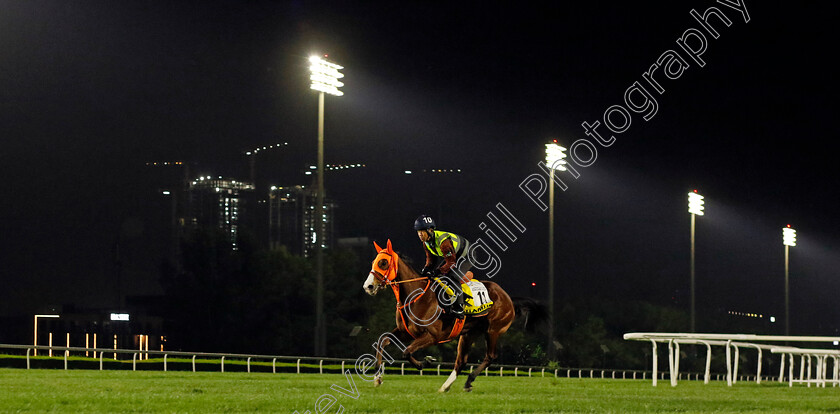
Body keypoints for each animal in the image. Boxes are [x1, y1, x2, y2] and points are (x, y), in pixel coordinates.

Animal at [362, 239, 516, 392]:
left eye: (383, 262)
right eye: (374, 262)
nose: (368, 286)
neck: (416, 296)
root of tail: (507, 297)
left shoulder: (433, 336)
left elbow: (406, 351)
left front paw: (425, 362)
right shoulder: (405, 332)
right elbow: (383, 340)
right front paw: (377, 378)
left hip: (493, 330)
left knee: (490, 356)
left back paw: (468, 380)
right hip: (469, 333)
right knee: (461, 361)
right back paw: (446, 386)